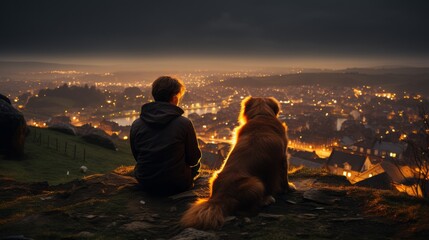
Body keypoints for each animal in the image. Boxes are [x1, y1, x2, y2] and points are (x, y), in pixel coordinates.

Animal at [179, 95, 292, 229]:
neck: (262, 115)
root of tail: (218, 199)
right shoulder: (283, 156)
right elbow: (284, 177)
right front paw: (288, 189)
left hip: (214, 177)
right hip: (256, 183)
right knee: (249, 207)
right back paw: (267, 199)